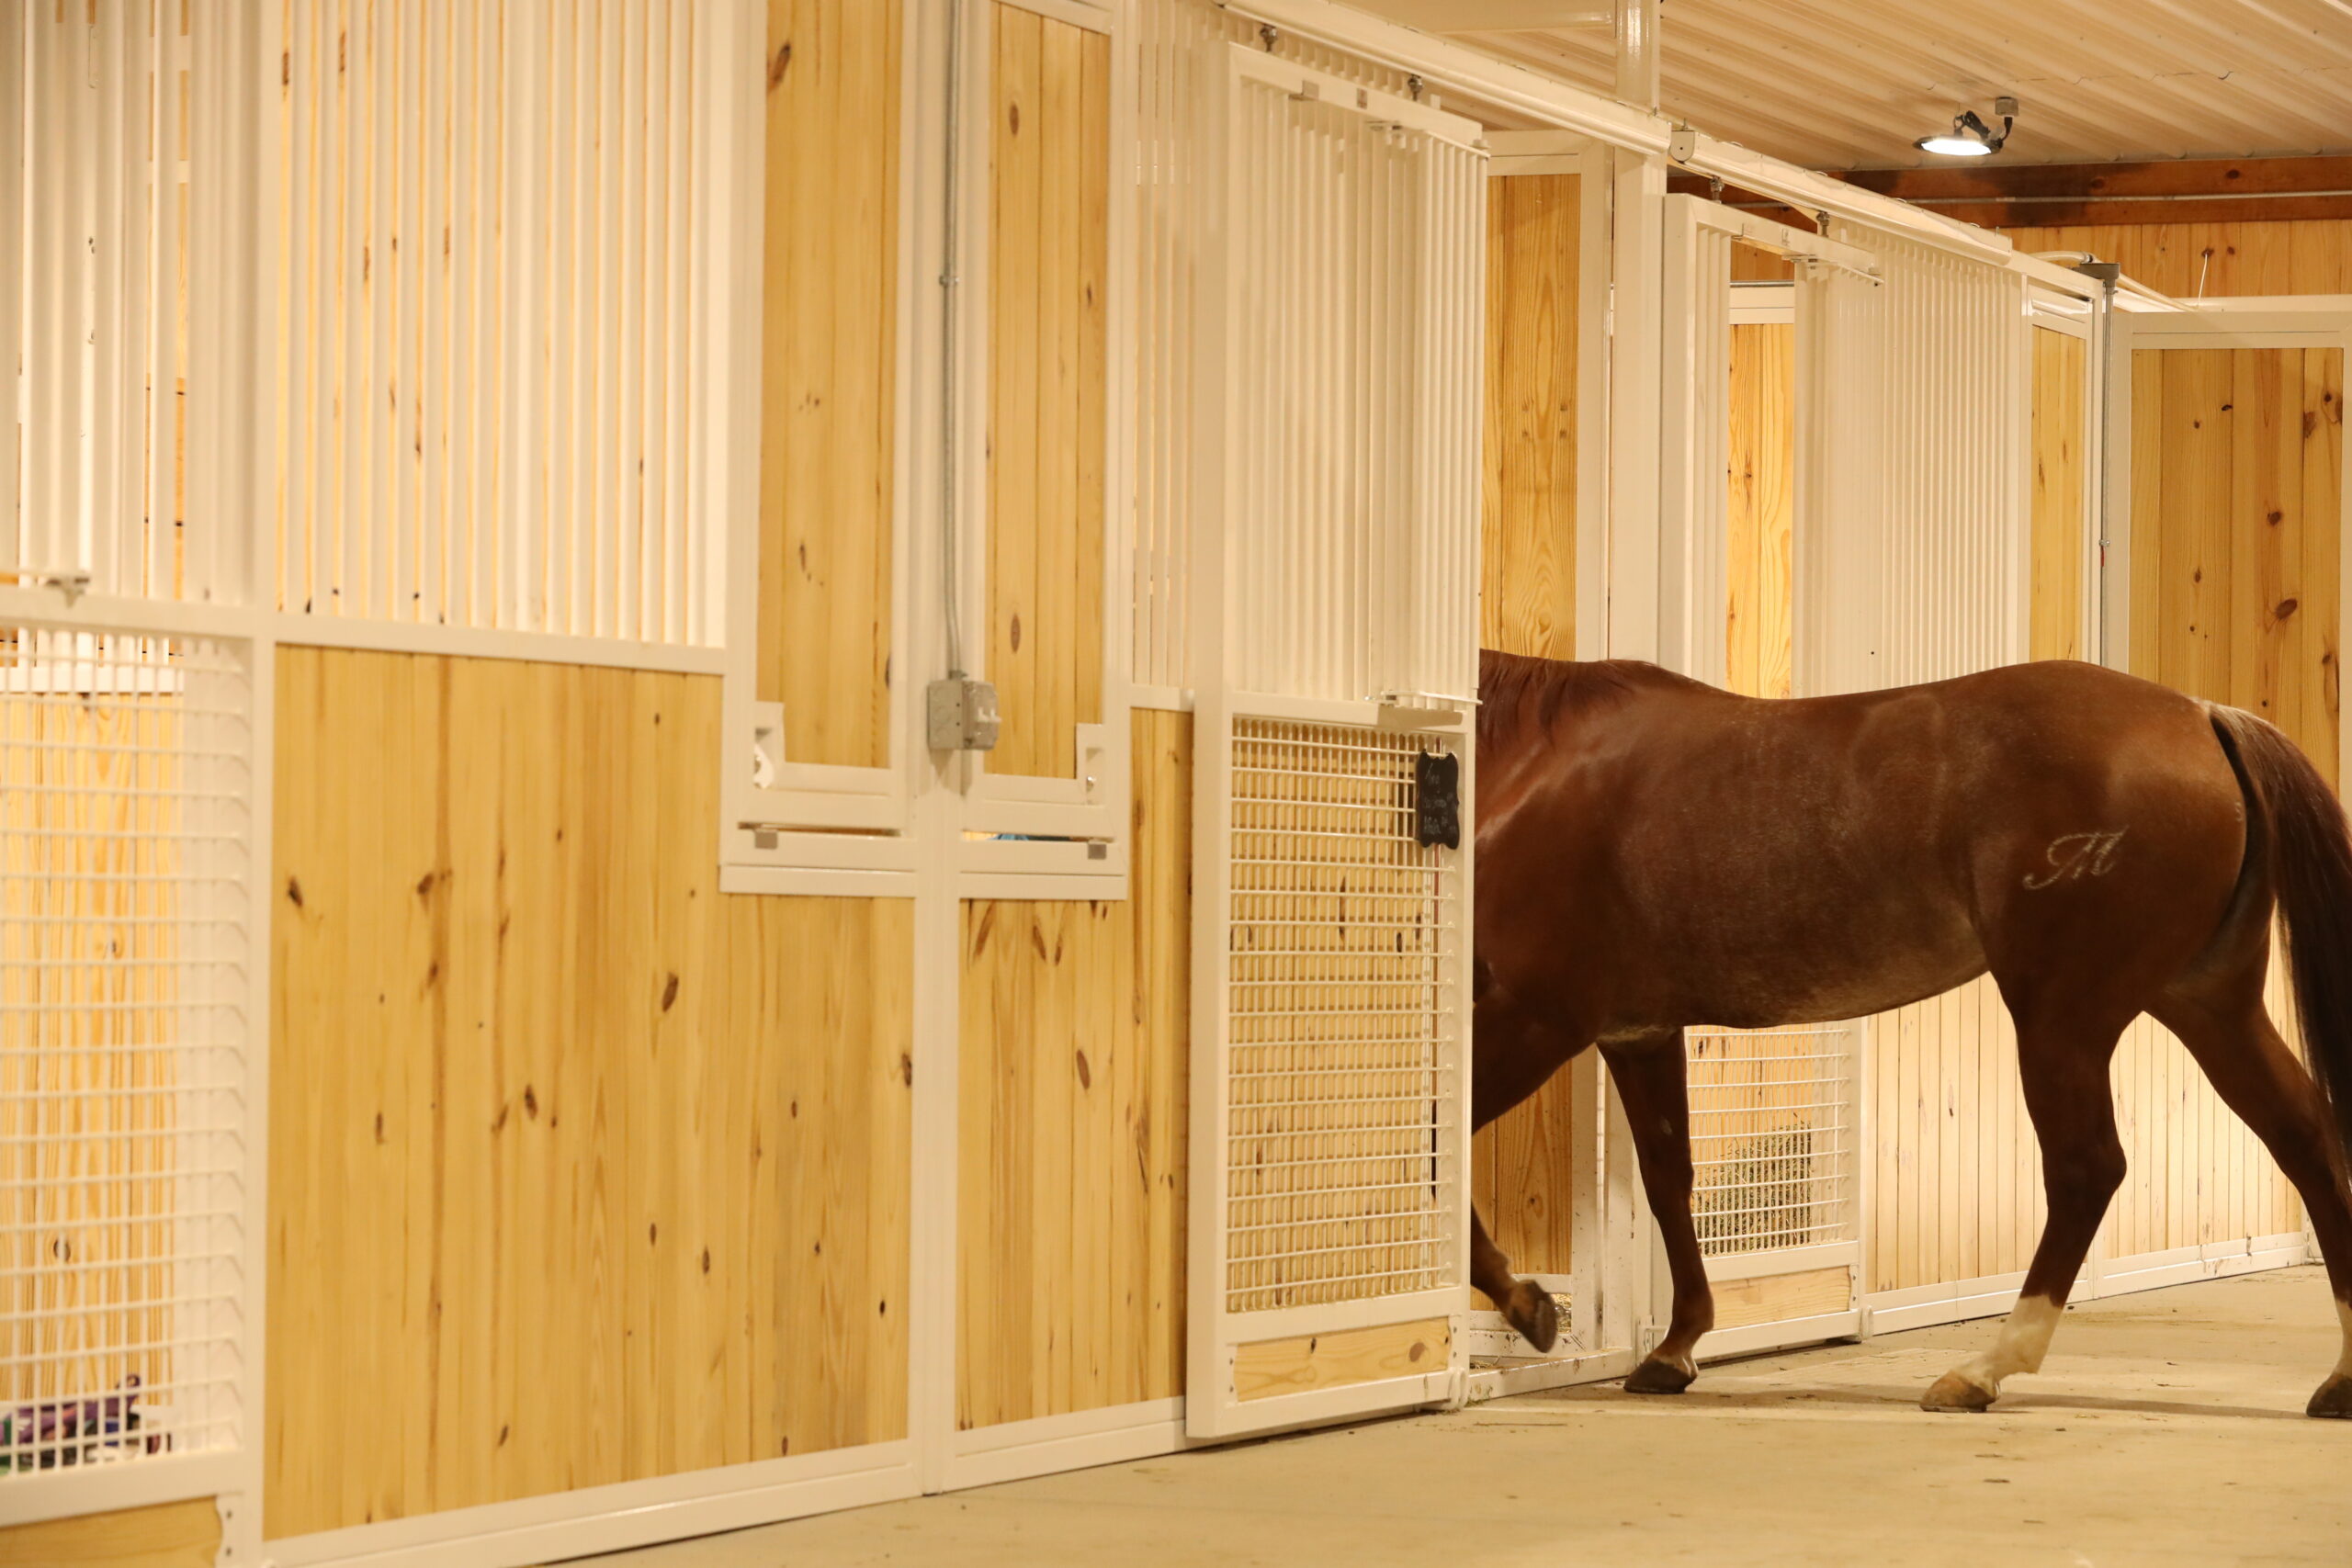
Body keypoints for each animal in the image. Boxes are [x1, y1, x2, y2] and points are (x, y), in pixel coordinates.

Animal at [1467, 644, 2352, 1419]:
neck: (1541, 764)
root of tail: (2203, 715)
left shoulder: (1537, 1017)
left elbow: (1446, 1146)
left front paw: (1529, 1305)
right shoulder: (1637, 1031)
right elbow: (1668, 1178)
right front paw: (1673, 1349)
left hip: (2063, 1015)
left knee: (2087, 1169)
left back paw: (1982, 1369)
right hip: (2211, 1003)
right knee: (2302, 1133)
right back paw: (2340, 1379)